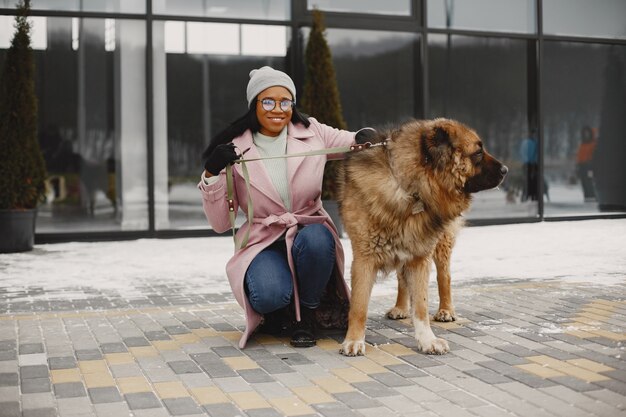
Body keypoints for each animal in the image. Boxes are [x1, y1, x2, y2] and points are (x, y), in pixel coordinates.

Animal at [338, 117, 504, 354]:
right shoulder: (364, 258)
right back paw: (400, 307)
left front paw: (427, 340)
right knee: (401, 279)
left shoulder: (419, 258)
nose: (506, 169)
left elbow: (421, 306)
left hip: (440, 243)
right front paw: (353, 340)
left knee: (444, 276)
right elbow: (359, 306)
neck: (411, 189)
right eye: (478, 152)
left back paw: (446, 310)